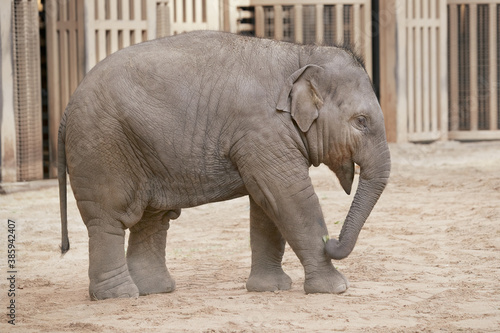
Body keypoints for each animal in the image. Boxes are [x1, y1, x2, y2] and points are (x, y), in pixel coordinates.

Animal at [59, 30, 390, 298]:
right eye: (361, 121)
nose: (330, 241)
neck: (302, 54)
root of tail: (68, 102)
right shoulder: (261, 130)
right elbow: (289, 195)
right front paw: (336, 288)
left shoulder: (261, 139)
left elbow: (266, 202)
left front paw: (271, 288)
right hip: (102, 146)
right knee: (110, 217)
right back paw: (120, 295)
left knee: (154, 218)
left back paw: (155, 290)